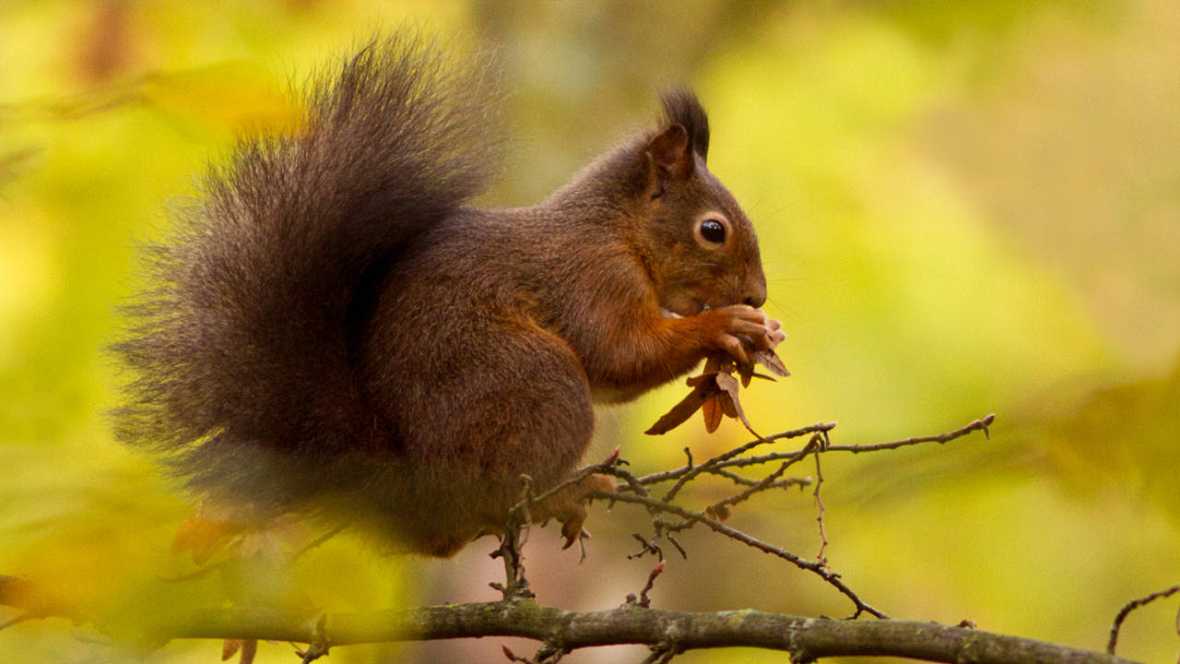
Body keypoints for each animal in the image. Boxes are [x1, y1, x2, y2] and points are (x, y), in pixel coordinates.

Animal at [115, 33, 783, 559]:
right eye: (713, 230)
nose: (758, 294)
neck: (616, 229)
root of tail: (414, 490)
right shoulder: (593, 277)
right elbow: (621, 354)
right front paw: (725, 326)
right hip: (535, 386)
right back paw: (570, 491)